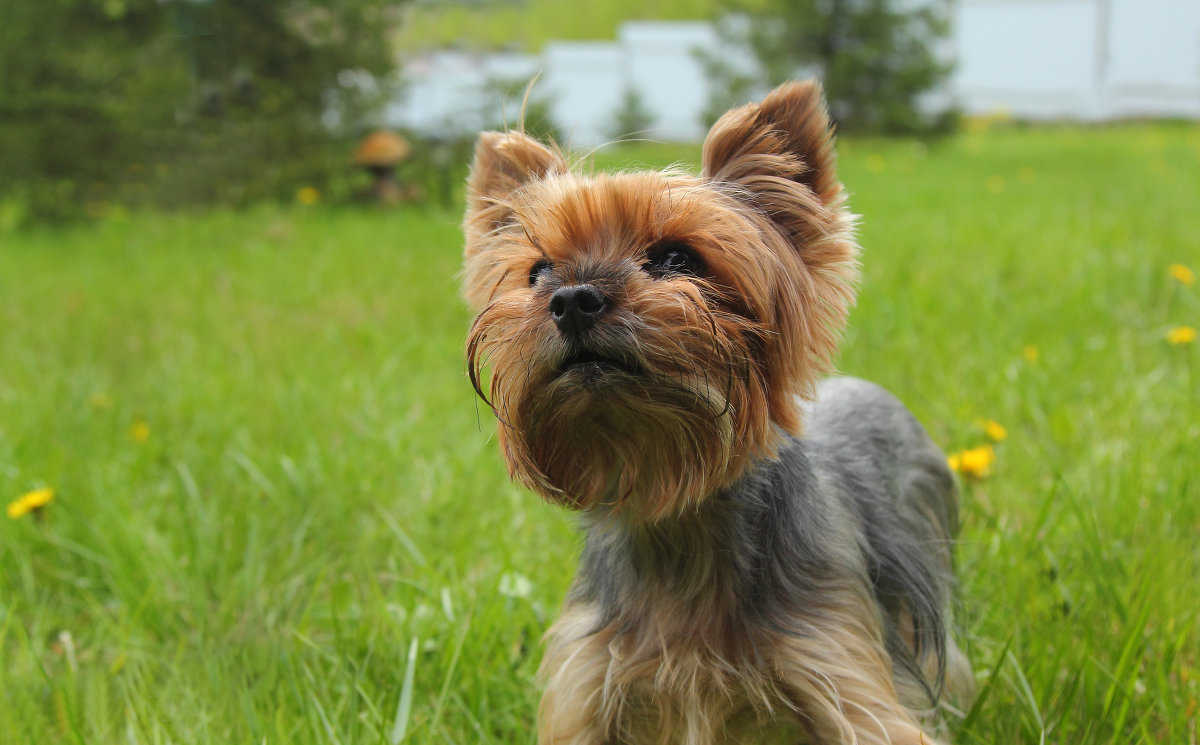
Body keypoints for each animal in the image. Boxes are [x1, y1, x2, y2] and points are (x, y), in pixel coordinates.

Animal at [458, 81, 974, 743]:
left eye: (679, 259)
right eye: (539, 270)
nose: (571, 298)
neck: (675, 517)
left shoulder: (842, 669)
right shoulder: (588, 686)